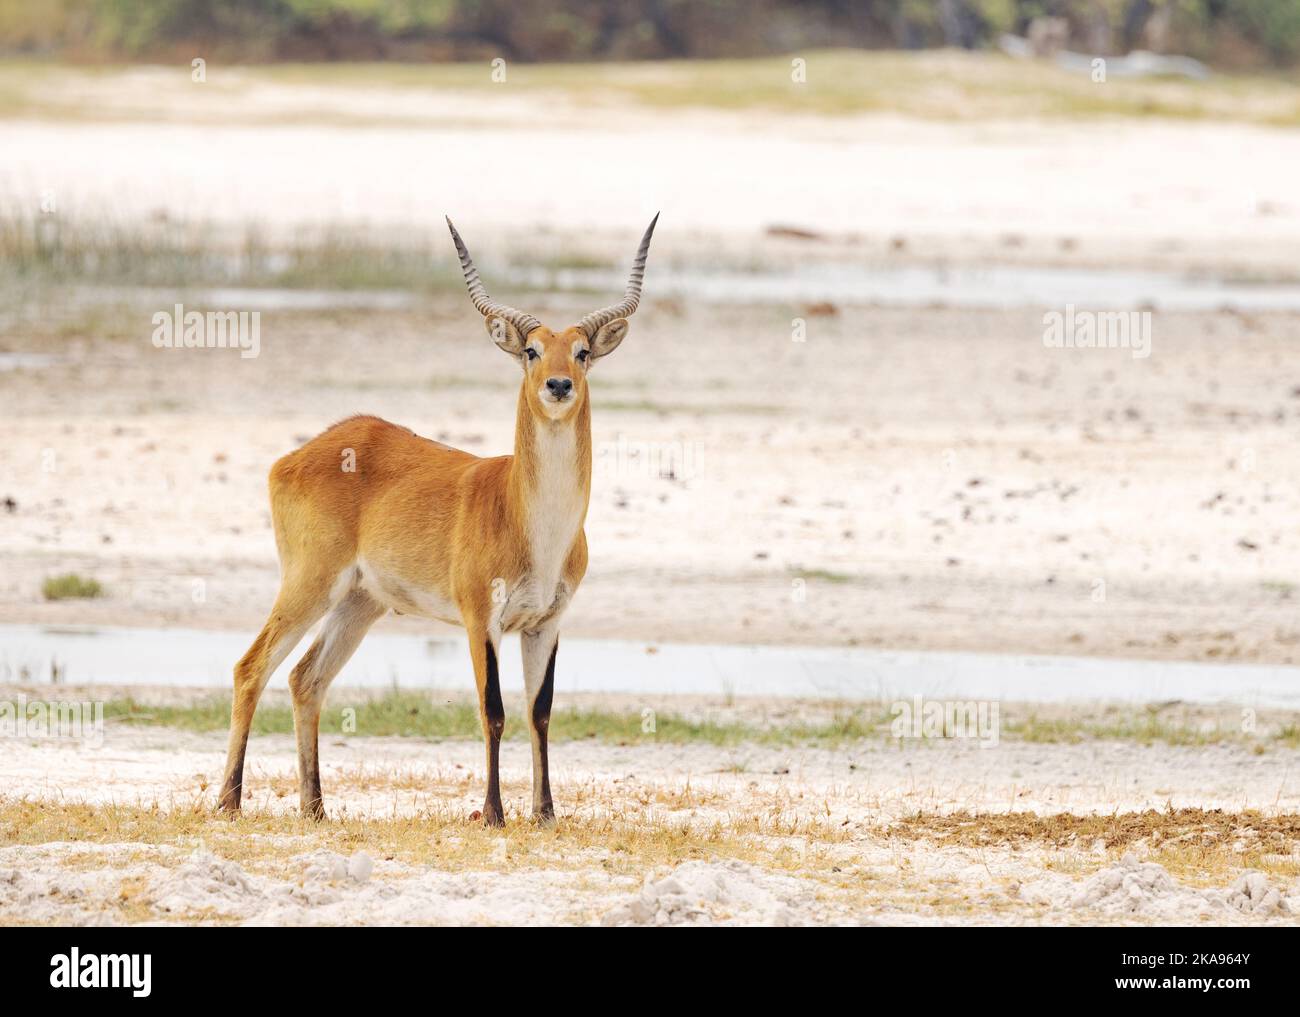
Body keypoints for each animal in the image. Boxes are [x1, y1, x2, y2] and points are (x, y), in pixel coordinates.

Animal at [218, 214, 660, 827]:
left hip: (360, 601)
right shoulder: (481, 618)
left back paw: (316, 809)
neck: (529, 520)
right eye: (531, 350)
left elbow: (540, 711)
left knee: (306, 679)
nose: (558, 386)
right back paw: (229, 802)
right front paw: (494, 814)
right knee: (251, 667)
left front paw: (545, 814)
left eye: (581, 352)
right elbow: (493, 709)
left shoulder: (547, 621)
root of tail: (302, 452)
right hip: (310, 582)